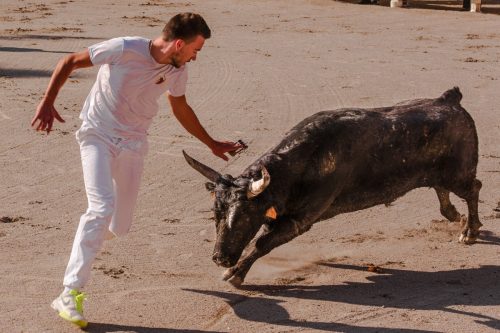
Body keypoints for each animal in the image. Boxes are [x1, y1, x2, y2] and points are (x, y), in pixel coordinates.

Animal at [183, 87, 480, 286]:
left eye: (245, 217)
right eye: (215, 215)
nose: (220, 258)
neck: (302, 162)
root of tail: (449, 99)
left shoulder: (301, 219)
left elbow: (262, 242)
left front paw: (235, 274)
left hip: (459, 173)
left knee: (473, 189)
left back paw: (469, 231)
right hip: (439, 174)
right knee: (442, 191)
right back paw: (456, 218)